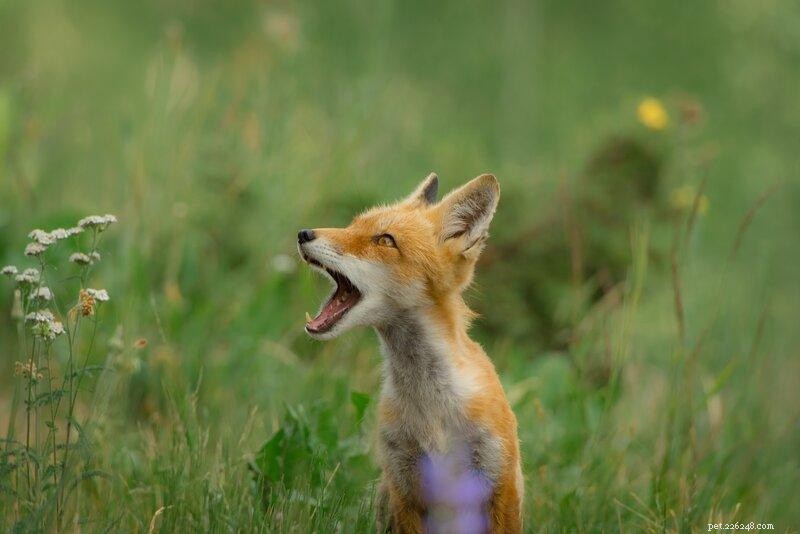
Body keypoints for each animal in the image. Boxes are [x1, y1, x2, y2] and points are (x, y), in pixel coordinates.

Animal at [298, 173, 523, 533]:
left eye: (385, 241)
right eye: (352, 226)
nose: (303, 234)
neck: (430, 407)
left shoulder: (499, 482)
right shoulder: (404, 488)